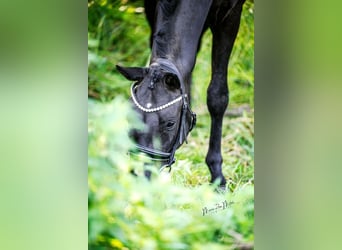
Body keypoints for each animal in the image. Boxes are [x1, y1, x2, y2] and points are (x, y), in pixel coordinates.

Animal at [117, 0, 246, 188]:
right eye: (129, 117)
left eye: (170, 124)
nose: (138, 173)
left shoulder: (230, 15)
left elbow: (218, 96)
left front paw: (217, 176)